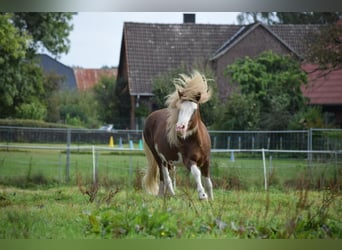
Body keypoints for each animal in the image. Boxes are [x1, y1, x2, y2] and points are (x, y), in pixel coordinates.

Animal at [141, 71, 211, 200]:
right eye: (179, 108)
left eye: (194, 110)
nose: (180, 128)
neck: (196, 141)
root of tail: (150, 117)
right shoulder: (188, 160)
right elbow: (197, 174)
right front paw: (202, 195)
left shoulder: (206, 160)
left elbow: (208, 181)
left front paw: (211, 198)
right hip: (159, 157)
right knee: (165, 176)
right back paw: (168, 195)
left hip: (168, 160)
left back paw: (163, 195)